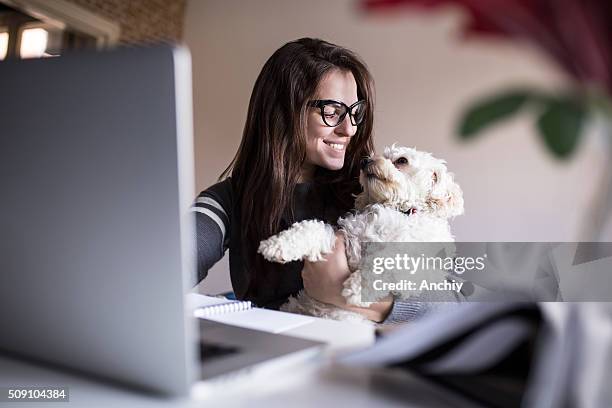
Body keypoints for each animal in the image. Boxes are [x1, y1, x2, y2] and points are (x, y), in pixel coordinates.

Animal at [258, 144, 464, 322]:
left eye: (402, 160)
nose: (364, 161)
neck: (398, 211)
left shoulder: (421, 270)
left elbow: (388, 261)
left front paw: (357, 289)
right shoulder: (344, 239)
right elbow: (312, 228)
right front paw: (277, 245)